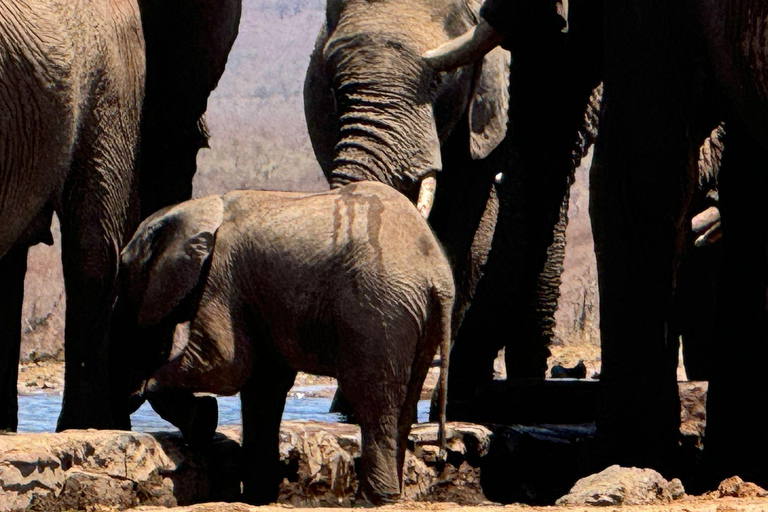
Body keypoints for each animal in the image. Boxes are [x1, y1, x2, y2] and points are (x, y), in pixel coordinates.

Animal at [117, 180, 452, 504]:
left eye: (124, 269)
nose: (129, 397)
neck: (198, 207)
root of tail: (438, 277)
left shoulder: (223, 274)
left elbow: (225, 365)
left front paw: (204, 420)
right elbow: (263, 385)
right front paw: (257, 497)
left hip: (376, 308)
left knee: (372, 398)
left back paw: (372, 500)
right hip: (413, 315)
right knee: (404, 400)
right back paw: (389, 494)